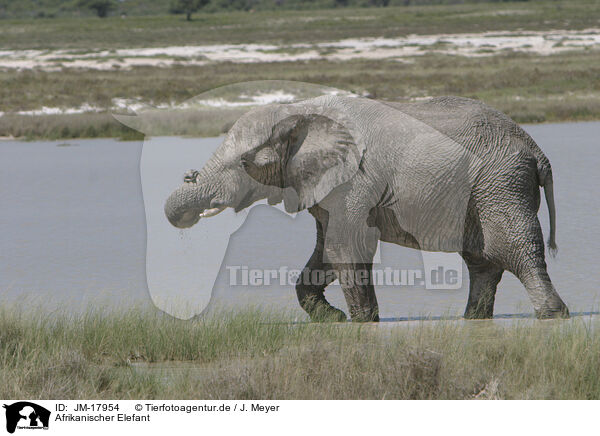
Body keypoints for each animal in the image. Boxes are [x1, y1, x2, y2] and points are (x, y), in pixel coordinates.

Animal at [163, 94, 568, 320]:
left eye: (243, 162)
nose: (188, 176)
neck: (299, 111)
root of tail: (538, 153)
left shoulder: (354, 180)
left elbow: (346, 246)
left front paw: (362, 323)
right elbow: (328, 250)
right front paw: (333, 320)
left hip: (500, 183)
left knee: (512, 249)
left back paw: (553, 316)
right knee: (482, 260)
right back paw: (473, 320)